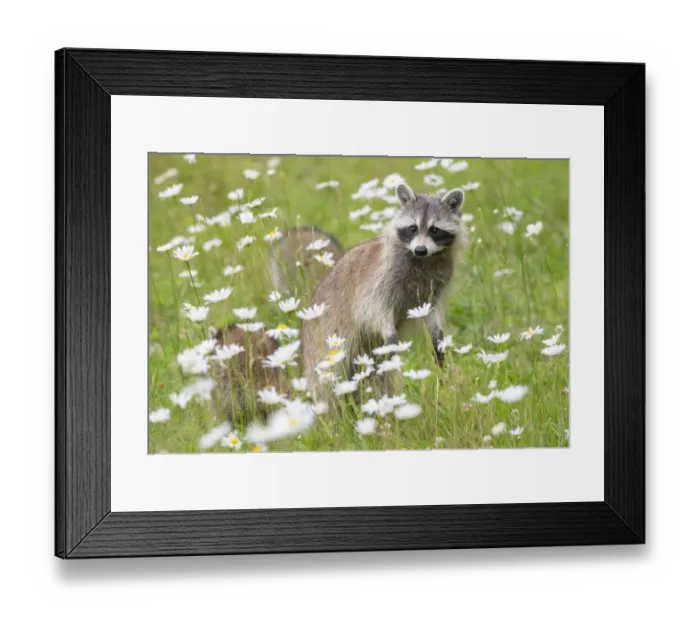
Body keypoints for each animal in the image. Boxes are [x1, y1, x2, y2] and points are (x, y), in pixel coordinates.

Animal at [301, 183, 467, 397]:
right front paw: (389, 330)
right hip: (326, 337)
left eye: (435, 230)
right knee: (327, 381)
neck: (423, 261)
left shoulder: (435, 285)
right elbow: (374, 310)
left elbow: (431, 311)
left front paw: (437, 334)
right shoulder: (380, 281)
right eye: (412, 228)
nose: (420, 249)